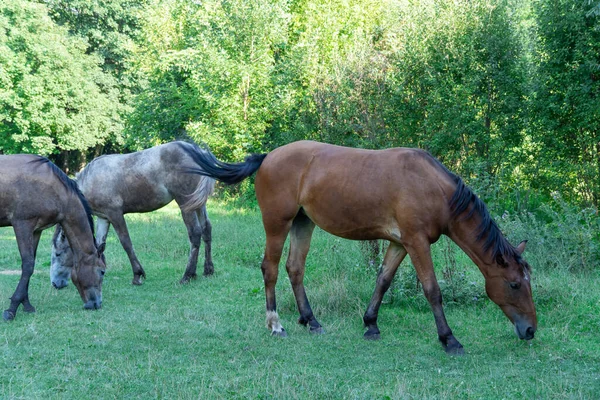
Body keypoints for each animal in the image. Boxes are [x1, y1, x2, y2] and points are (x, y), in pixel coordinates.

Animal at [0, 155, 105, 320]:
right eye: (102, 271)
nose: (96, 304)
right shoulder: (22, 225)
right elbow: (28, 265)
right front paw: (12, 308)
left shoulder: (36, 230)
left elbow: (29, 266)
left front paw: (26, 304)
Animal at [50, 141, 216, 288]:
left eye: (57, 254)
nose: (55, 283)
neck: (92, 180)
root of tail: (197, 151)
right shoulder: (103, 218)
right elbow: (99, 245)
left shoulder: (115, 214)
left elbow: (126, 243)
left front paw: (137, 275)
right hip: (197, 204)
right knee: (206, 229)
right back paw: (208, 270)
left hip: (185, 204)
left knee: (195, 233)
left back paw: (188, 275)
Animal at [180, 140, 536, 354]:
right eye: (514, 285)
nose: (530, 330)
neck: (432, 187)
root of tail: (269, 157)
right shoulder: (417, 242)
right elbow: (433, 290)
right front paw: (449, 339)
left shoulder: (399, 243)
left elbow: (383, 280)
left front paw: (370, 324)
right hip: (278, 224)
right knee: (270, 269)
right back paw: (276, 324)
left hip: (303, 223)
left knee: (295, 269)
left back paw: (311, 320)